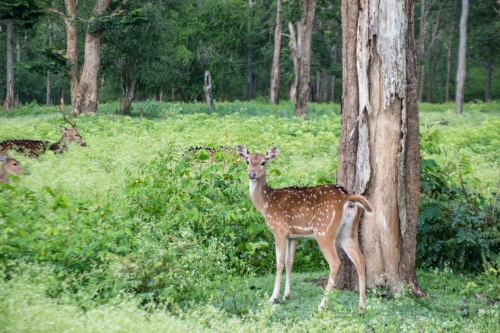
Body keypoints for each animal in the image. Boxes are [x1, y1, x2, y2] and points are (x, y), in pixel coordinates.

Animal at [236, 145, 374, 312]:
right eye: (247, 161)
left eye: (263, 162)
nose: (252, 174)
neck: (266, 204)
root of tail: (347, 198)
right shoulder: (293, 235)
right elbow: (289, 261)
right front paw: (286, 295)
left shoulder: (279, 230)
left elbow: (279, 262)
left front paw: (273, 297)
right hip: (348, 231)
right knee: (360, 259)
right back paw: (361, 306)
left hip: (324, 230)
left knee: (335, 263)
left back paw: (322, 305)